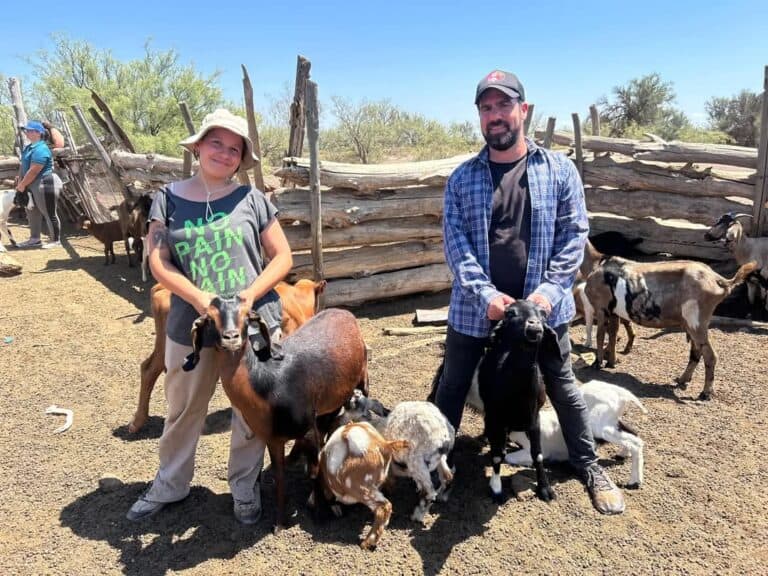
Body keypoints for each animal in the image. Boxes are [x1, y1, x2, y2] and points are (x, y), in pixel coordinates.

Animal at [184, 302, 368, 532]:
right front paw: (280, 523)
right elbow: (279, 476)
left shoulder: (307, 429)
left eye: (246, 317)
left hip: (362, 379)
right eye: (209, 319)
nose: (231, 337)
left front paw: (319, 514)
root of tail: (343, 312)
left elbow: (315, 471)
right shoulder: (272, 439)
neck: (267, 383)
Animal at [474, 300, 560, 502]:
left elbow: (538, 454)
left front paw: (545, 488)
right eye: (509, 313)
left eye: (543, 313)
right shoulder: (496, 419)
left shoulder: (534, 420)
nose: (534, 327)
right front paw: (496, 489)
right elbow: (497, 456)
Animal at [504, 380, 648, 488]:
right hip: (613, 422)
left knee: (635, 442)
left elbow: (509, 457)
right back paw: (623, 454)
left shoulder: (538, 451)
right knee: (633, 432)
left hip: (601, 427)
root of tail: (620, 392)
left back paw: (634, 481)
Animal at [584, 258, 760, 400]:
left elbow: (600, 335)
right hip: (692, 323)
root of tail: (719, 280)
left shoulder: (601, 308)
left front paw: (597, 363)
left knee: (710, 355)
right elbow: (613, 334)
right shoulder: (613, 312)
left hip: (696, 321)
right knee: (696, 352)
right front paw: (611, 362)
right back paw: (682, 380)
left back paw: (705, 394)